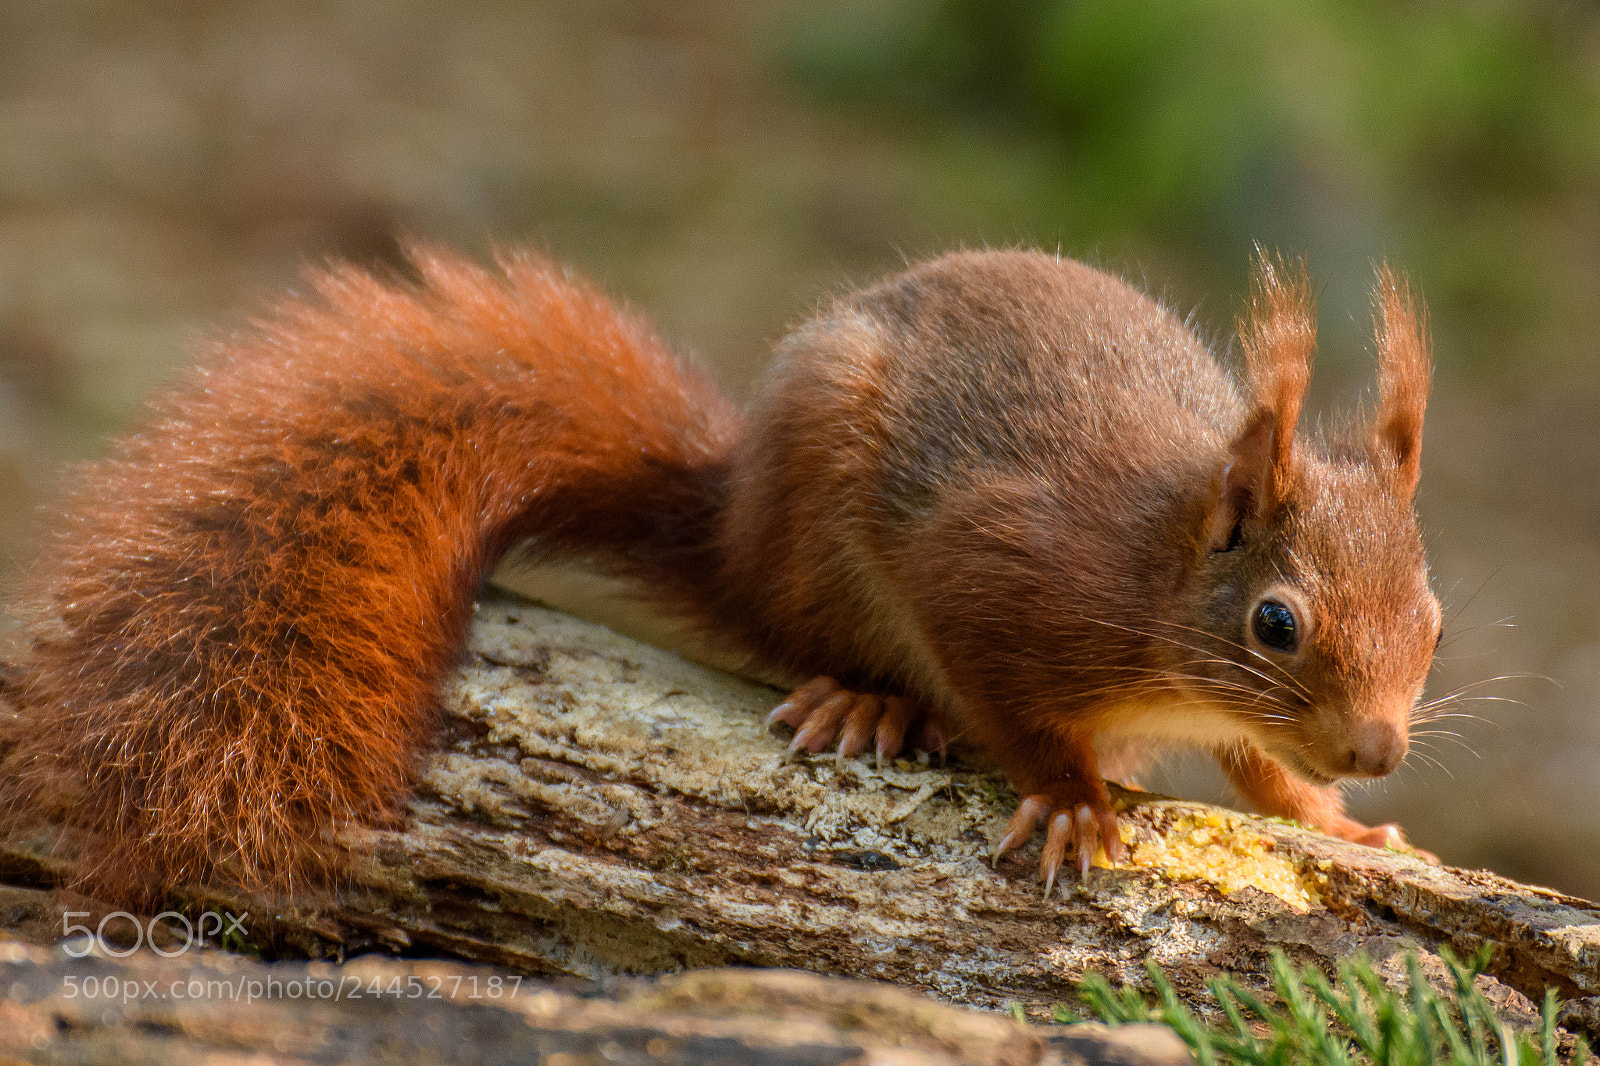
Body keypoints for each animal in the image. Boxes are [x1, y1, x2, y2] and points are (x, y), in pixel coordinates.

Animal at [0, 244, 1441, 904]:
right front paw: (1075, 800)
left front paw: (1340, 820)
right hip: (810, 539)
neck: (1160, 580)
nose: (1377, 750)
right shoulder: (1005, 580)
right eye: (1275, 622)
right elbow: (1010, 697)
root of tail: (730, 520)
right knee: (799, 633)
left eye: (1431, 616)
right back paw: (870, 699)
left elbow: (1261, 772)